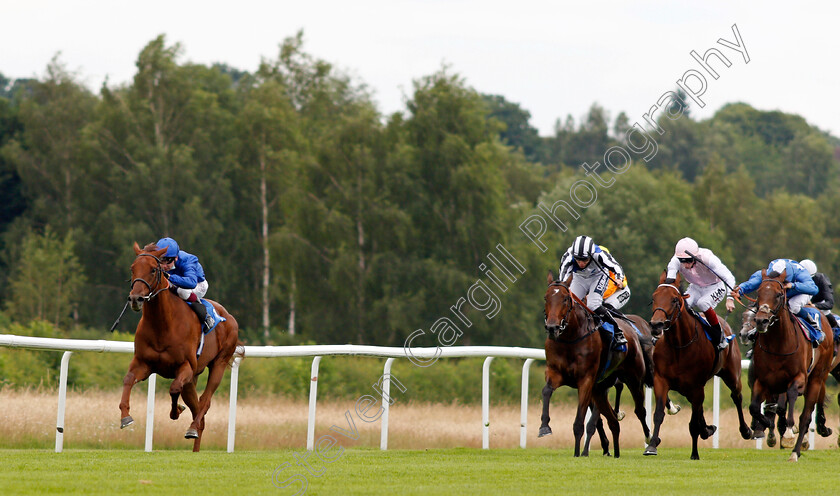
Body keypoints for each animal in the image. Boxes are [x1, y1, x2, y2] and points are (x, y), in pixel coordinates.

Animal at [115, 242, 240, 452]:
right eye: (132, 268)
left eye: (153, 269)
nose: (135, 299)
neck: (162, 324)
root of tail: (229, 316)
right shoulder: (144, 363)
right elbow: (128, 379)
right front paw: (125, 417)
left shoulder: (185, 367)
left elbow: (173, 389)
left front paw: (176, 411)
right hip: (193, 378)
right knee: (198, 412)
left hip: (219, 363)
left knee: (204, 402)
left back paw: (192, 428)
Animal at [540, 272, 648, 458]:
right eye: (546, 298)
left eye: (565, 299)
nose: (552, 327)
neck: (570, 338)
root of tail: (633, 332)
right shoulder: (555, 373)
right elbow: (546, 391)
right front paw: (544, 426)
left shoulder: (586, 380)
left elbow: (580, 422)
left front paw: (578, 453)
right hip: (600, 391)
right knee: (613, 421)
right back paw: (616, 453)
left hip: (634, 379)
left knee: (640, 410)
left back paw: (650, 442)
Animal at [648, 274, 752, 460]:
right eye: (654, 298)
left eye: (674, 300)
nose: (656, 325)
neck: (679, 345)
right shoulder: (661, 381)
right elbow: (659, 413)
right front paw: (652, 445)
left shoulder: (696, 386)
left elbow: (693, 423)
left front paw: (694, 453)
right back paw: (707, 429)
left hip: (731, 374)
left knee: (736, 397)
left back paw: (745, 430)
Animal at [748, 268, 832, 462]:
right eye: (758, 293)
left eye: (779, 294)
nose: (761, 321)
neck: (778, 344)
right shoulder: (762, 380)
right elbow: (755, 407)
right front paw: (764, 424)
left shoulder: (798, 378)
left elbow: (792, 397)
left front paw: (788, 433)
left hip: (817, 378)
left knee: (805, 417)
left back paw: (795, 451)